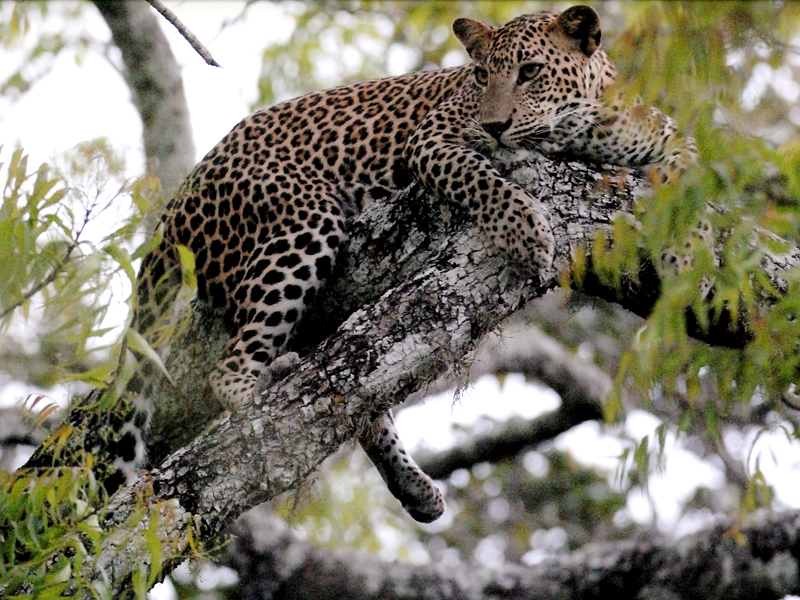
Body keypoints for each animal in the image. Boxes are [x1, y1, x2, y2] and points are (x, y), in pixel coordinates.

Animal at [28, 4, 692, 524]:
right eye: (481, 76)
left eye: (529, 72)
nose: (496, 123)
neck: (581, 127)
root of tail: (177, 202)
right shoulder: (436, 140)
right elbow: (482, 178)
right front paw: (528, 232)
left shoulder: (658, 135)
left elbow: (690, 168)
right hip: (304, 222)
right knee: (240, 371)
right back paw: (266, 387)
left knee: (357, 390)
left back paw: (414, 486)